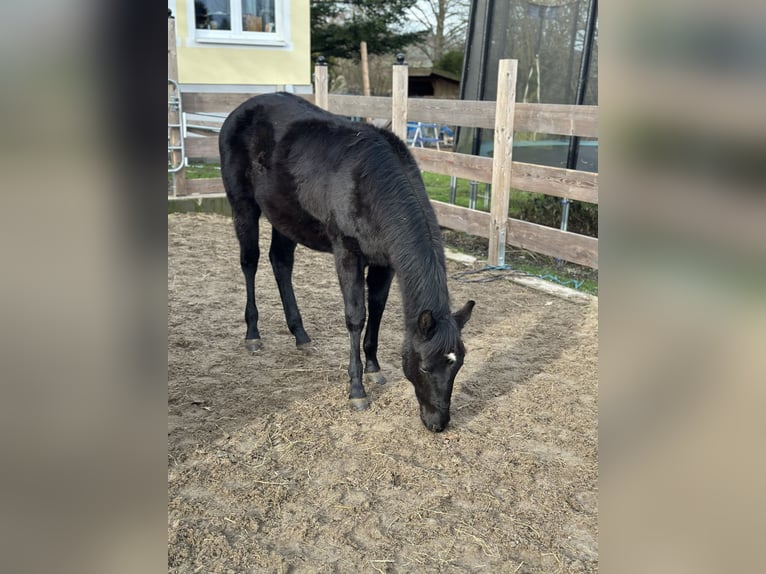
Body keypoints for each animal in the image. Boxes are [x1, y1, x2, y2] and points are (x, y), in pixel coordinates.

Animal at [219, 92, 474, 432]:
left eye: (457, 365)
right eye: (423, 367)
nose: (438, 422)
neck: (371, 182)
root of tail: (239, 111)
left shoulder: (384, 263)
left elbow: (377, 309)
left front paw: (374, 367)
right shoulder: (347, 254)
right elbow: (356, 316)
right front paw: (357, 390)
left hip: (284, 215)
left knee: (281, 263)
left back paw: (301, 335)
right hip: (243, 205)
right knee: (250, 262)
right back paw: (253, 334)